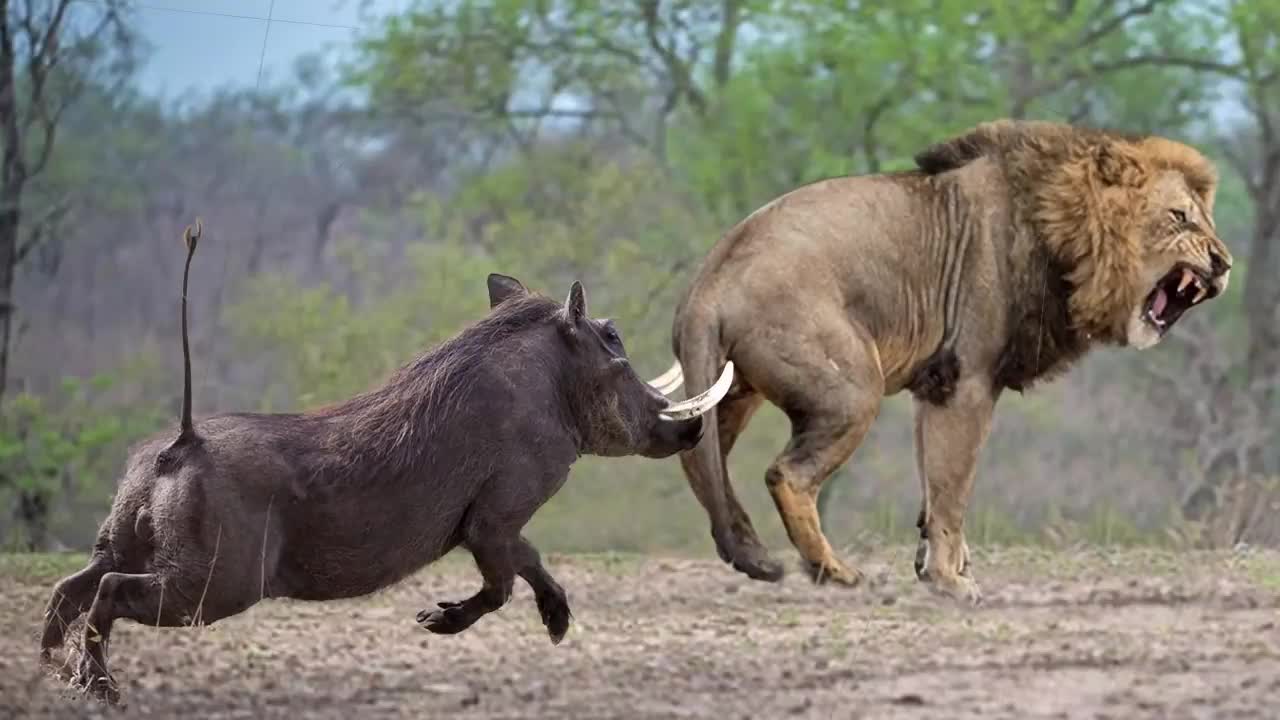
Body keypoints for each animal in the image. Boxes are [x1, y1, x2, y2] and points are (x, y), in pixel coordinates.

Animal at [645, 119, 1233, 599]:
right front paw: (951, 581)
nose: (1225, 263)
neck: (1063, 234)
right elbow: (953, 487)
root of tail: (709, 282)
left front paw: (939, 565)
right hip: (850, 388)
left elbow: (932, 486)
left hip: (734, 389)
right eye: (1180, 217)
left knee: (701, 459)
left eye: (1206, 218)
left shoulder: (935, 386)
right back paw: (833, 571)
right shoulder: (967, 382)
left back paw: (750, 553)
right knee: (787, 475)